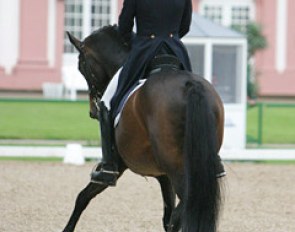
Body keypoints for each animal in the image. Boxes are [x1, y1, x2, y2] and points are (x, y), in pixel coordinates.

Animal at [62, 25, 224, 232]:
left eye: (82, 67)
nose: (93, 111)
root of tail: (190, 85)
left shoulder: (120, 163)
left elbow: (83, 197)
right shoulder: (163, 175)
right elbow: (167, 215)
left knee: (187, 204)